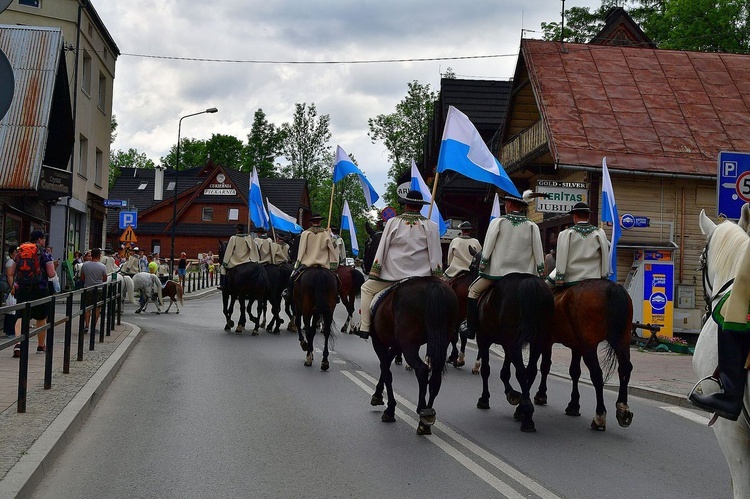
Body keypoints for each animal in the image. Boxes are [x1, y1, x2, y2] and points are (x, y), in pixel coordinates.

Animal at [368, 278, 458, 438]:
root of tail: (433, 284)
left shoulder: (378, 341)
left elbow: (386, 370)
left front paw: (389, 410)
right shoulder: (397, 345)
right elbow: (385, 366)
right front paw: (378, 394)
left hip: (409, 345)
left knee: (422, 370)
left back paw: (422, 412)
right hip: (441, 339)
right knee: (435, 375)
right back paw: (426, 418)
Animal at [470, 254, 560, 434]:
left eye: (472, 265)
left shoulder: (484, 339)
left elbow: (486, 370)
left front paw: (485, 399)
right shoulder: (507, 343)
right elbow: (505, 371)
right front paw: (512, 394)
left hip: (513, 342)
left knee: (521, 371)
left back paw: (527, 416)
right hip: (537, 340)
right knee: (530, 371)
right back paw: (523, 410)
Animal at [528, 280, 636, 432]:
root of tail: (612, 287)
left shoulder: (547, 340)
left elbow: (545, 366)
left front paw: (541, 395)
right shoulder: (577, 347)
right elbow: (574, 372)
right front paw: (573, 405)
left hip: (589, 346)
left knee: (597, 374)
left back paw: (599, 416)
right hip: (623, 340)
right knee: (625, 368)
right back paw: (623, 409)